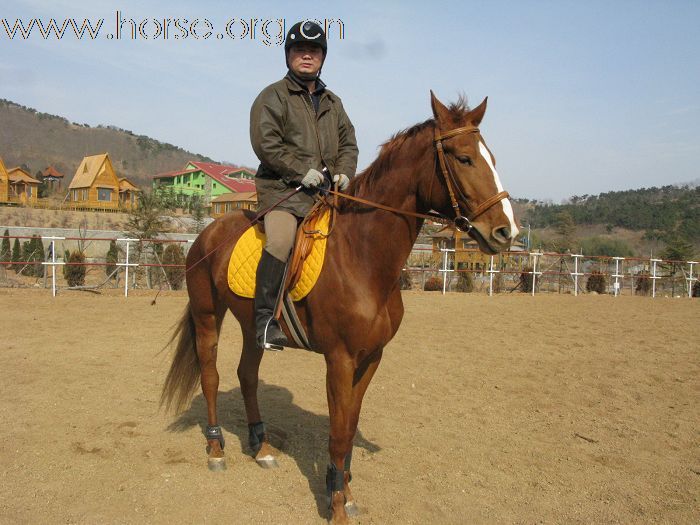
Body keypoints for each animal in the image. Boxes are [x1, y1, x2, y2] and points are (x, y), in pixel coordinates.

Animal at [160, 92, 520, 520]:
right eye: (463, 158)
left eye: (491, 158)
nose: (506, 232)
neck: (363, 256)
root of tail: (209, 231)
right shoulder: (340, 359)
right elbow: (337, 431)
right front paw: (334, 504)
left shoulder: (370, 359)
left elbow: (349, 426)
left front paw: (345, 492)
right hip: (207, 315)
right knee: (211, 376)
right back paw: (216, 449)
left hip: (252, 326)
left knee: (246, 375)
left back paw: (261, 447)